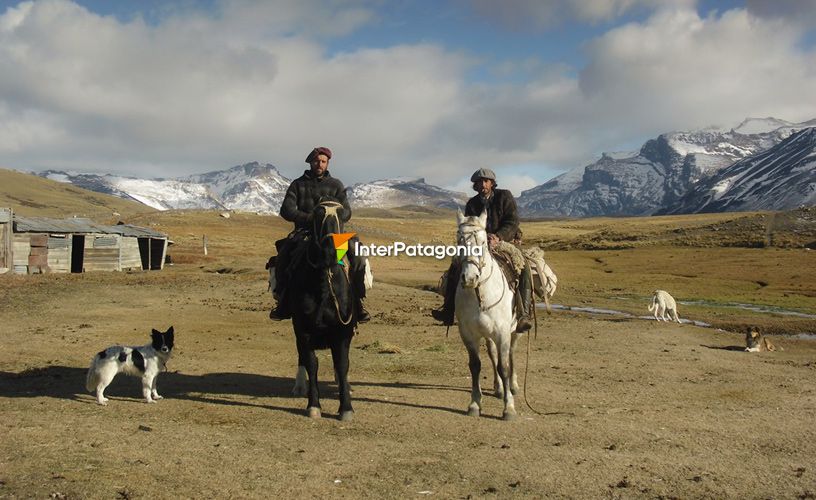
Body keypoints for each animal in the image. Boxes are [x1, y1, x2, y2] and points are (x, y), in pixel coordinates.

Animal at [290, 201, 360, 420]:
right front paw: (314, 406)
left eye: (342, 217)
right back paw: (299, 386)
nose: (331, 250)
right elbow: (312, 363)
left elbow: (342, 364)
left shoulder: (343, 331)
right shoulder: (303, 330)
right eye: (317, 216)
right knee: (301, 357)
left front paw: (346, 408)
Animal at [456, 209, 520, 420]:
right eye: (458, 241)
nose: (469, 278)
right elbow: (475, 366)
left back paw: (513, 386)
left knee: (510, 354)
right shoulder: (468, 334)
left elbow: (504, 367)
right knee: (493, 355)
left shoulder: (503, 332)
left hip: (514, 330)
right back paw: (498, 387)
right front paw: (475, 404)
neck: (480, 294)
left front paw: (509, 407)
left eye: (483, 242)